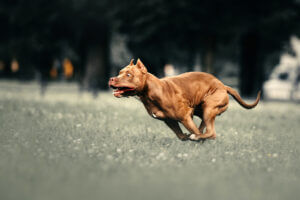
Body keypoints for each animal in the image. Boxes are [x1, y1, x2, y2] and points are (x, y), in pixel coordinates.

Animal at [108, 59, 260, 141]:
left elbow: (192, 130)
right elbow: (181, 135)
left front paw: (195, 138)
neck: (150, 91)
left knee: (211, 133)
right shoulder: (169, 120)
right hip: (203, 110)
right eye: (120, 72)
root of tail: (223, 85)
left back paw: (198, 137)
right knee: (204, 127)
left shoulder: (185, 116)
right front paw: (187, 137)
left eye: (128, 74)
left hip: (209, 107)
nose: (112, 78)